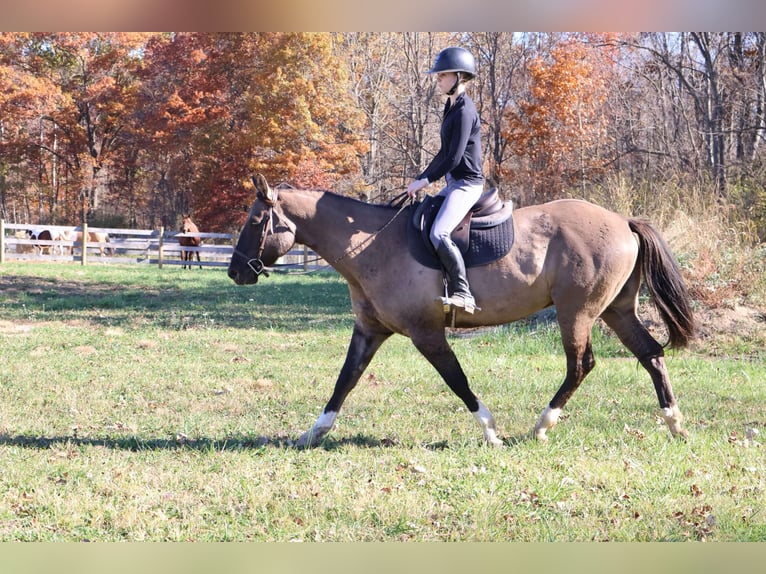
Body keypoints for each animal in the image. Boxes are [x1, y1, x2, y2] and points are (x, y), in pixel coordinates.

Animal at [228, 174, 696, 448]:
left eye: (254, 222)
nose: (235, 272)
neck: (373, 244)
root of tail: (622, 221)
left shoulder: (427, 334)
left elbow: (457, 381)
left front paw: (490, 432)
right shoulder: (369, 331)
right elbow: (345, 380)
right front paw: (313, 432)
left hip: (577, 313)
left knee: (582, 364)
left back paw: (542, 425)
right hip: (617, 310)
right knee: (652, 354)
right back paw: (674, 423)